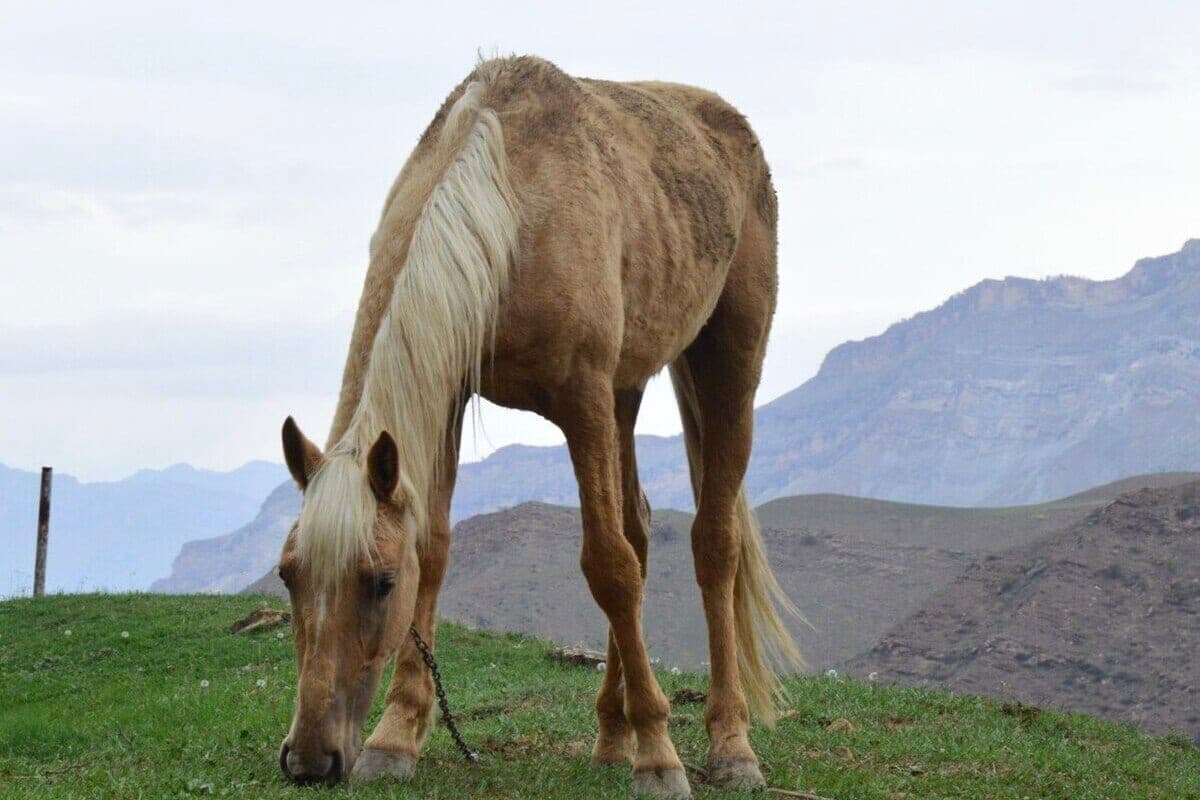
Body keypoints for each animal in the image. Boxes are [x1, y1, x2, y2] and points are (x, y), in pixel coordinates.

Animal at [274, 55, 801, 798]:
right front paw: (396, 734)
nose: (310, 759)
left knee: (712, 544)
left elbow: (609, 567)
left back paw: (729, 745)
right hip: (626, 393)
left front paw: (660, 753)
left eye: (379, 581)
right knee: (641, 530)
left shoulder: (583, 398)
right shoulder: (453, 397)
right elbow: (438, 550)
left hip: (726, 361)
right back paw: (612, 735)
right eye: (288, 576)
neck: (510, 208)